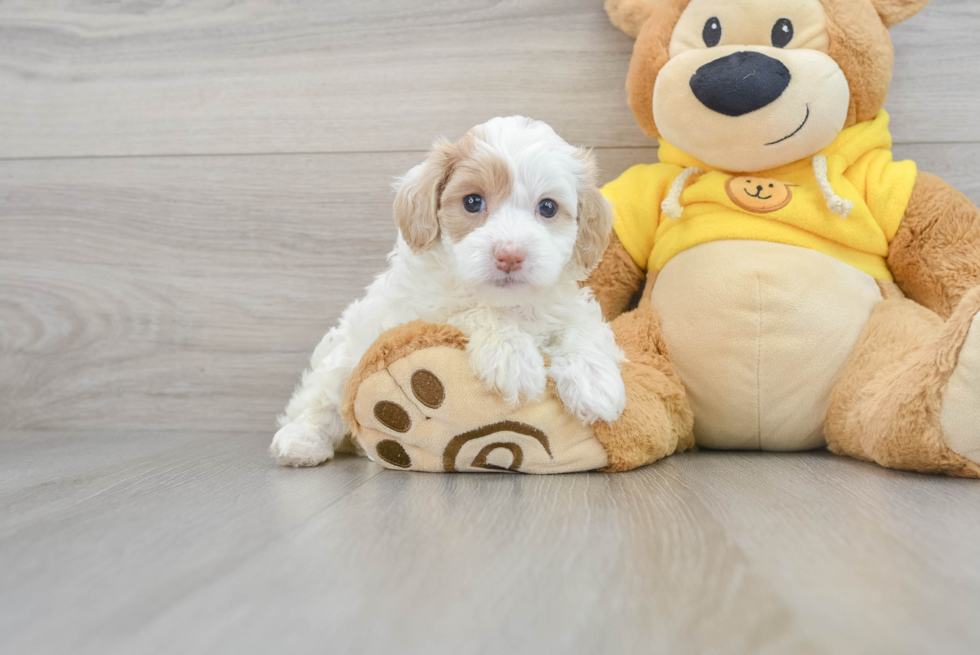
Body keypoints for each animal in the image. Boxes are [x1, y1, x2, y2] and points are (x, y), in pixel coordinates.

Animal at [274, 118, 628, 466]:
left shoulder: (565, 305)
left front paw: (595, 382)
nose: (510, 254)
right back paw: (301, 441)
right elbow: (471, 311)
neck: (507, 302)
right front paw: (512, 357)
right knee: (317, 402)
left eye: (548, 207)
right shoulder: (420, 311)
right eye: (472, 201)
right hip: (342, 359)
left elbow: (581, 328)